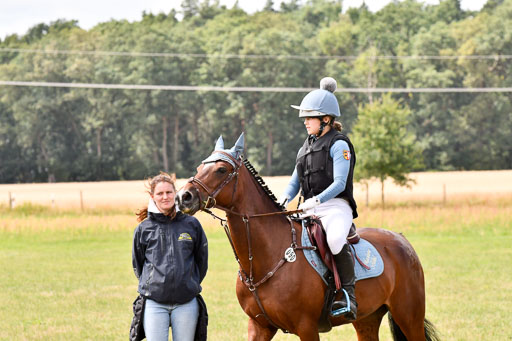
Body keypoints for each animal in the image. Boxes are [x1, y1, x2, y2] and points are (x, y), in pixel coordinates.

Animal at [177, 134, 440, 338]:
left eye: (221, 170)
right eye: (200, 167)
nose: (183, 197)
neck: (265, 258)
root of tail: (401, 240)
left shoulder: (306, 327)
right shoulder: (259, 326)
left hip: (409, 316)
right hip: (367, 319)